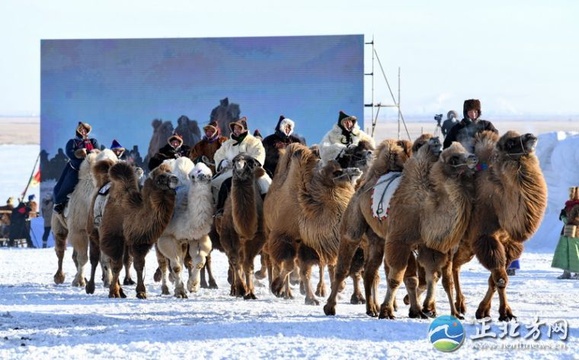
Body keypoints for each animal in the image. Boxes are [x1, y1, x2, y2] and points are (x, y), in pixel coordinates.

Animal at [99, 162, 178, 300]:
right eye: (161, 177)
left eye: (170, 171)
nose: (175, 178)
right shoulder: (114, 238)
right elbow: (117, 266)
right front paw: (113, 292)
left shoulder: (140, 242)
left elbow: (139, 264)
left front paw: (141, 292)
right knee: (113, 263)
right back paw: (118, 290)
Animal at [454, 130, 548, 320]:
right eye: (510, 143)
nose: (530, 136)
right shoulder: (486, 238)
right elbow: (500, 279)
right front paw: (505, 313)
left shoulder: (509, 243)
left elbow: (495, 279)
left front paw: (483, 311)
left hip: (466, 246)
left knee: (455, 266)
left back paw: (459, 305)